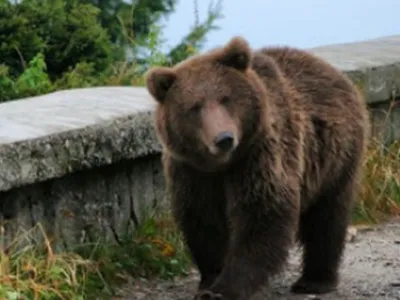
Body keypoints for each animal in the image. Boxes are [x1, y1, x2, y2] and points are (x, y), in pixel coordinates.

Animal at [145, 35, 370, 300]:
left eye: (226, 98)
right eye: (194, 106)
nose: (224, 138)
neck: (222, 166)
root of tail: (331, 70)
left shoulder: (258, 157)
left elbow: (262, 215)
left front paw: (225, 289)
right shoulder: (191, 171)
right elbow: (202, 221)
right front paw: (210, 280)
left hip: (336, 156)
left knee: (327, 217)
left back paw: (315, 280)